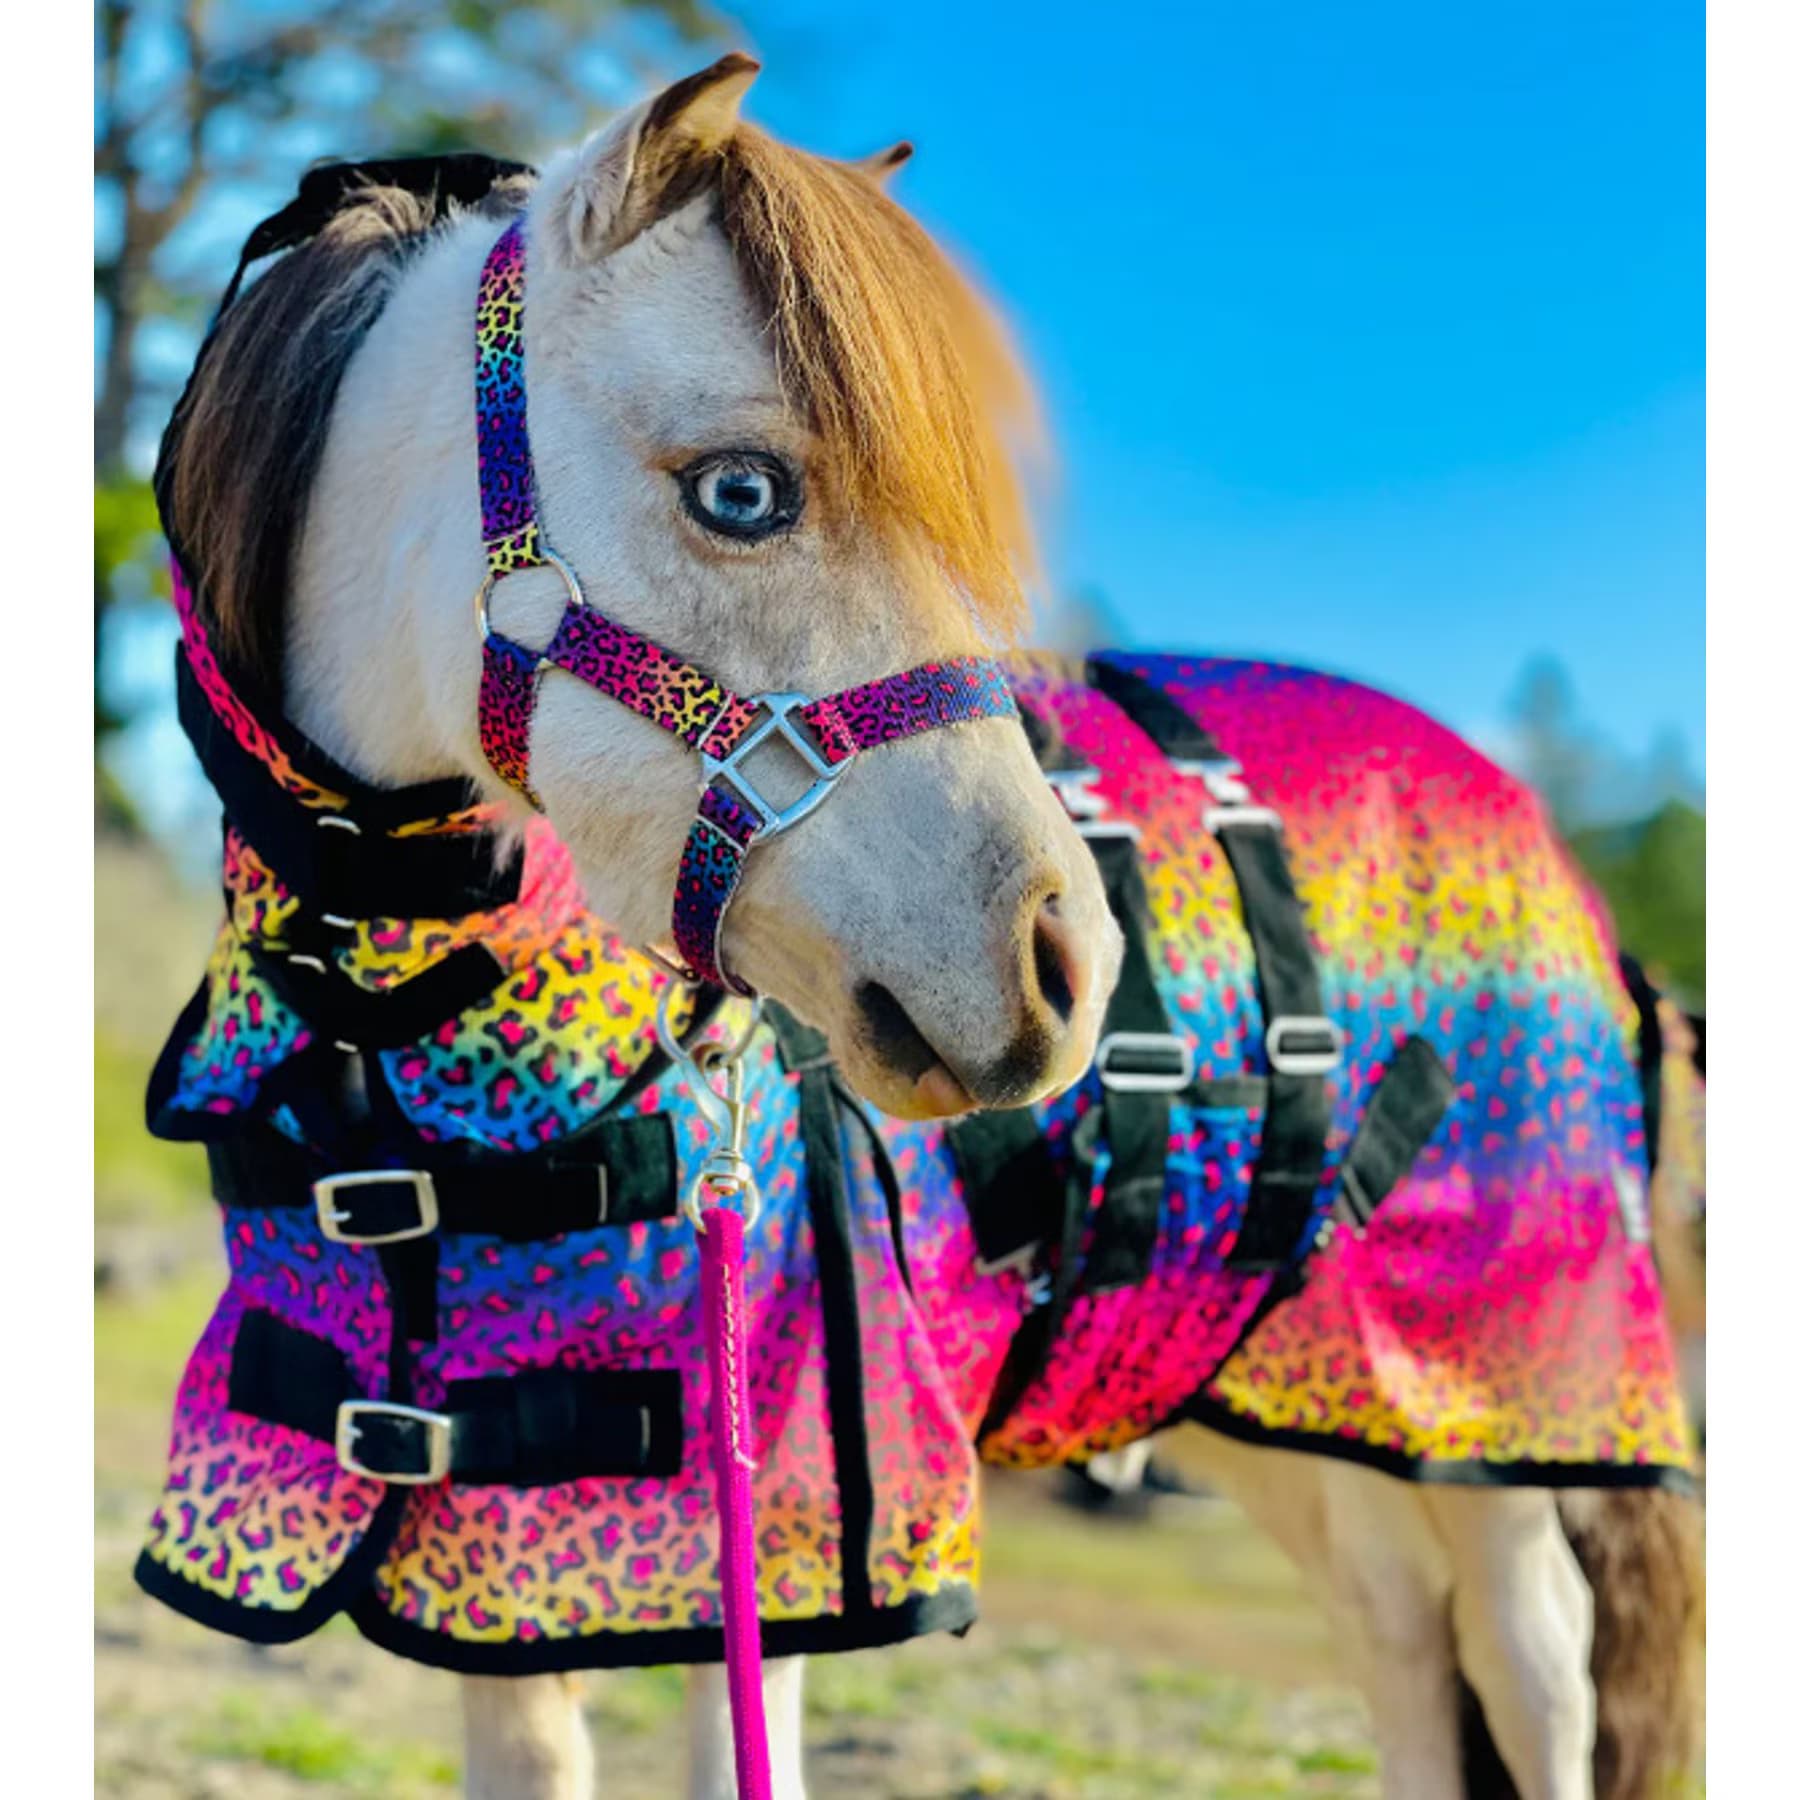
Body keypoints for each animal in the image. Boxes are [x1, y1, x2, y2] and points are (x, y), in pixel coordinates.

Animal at [134, 55, 1702, 1800]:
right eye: (743, 491)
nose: (1064, 972)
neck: (394, 1025)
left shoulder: (775, 1558)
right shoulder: (506, 1591)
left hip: (1498, 1420)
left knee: (1530, 1676)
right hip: (1287, 1403)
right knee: (1401, 1653)